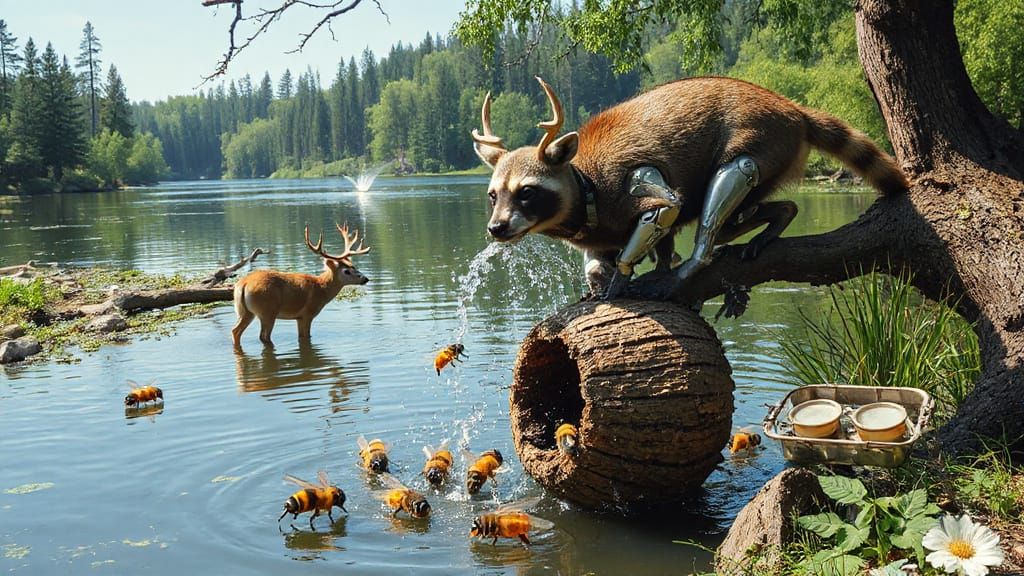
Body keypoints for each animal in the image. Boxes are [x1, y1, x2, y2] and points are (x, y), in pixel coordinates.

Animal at [231, 223, 370, 348]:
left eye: (354, 266)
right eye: (346, 271)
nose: (365, 279)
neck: (321, 289)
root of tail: (243, 284)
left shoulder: (298, 317)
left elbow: (302, 338)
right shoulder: (308, 313)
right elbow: (306, 336)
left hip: (245, 312)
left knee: (235, 331)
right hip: (267, 312)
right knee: (263, 336)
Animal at [472, 77, 907, 302]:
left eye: (527, 192)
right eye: (494, 196)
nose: (496, 228)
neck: (584, 182)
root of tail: (793, 108)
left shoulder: (628, 181)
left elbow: (665, 207)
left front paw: (623, 276)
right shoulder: (598, 225)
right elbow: (608, 253)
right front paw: (601, 274)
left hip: (762, 137)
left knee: (729, 181)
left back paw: (697, 259)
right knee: (740, 215)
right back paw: (779, 216)